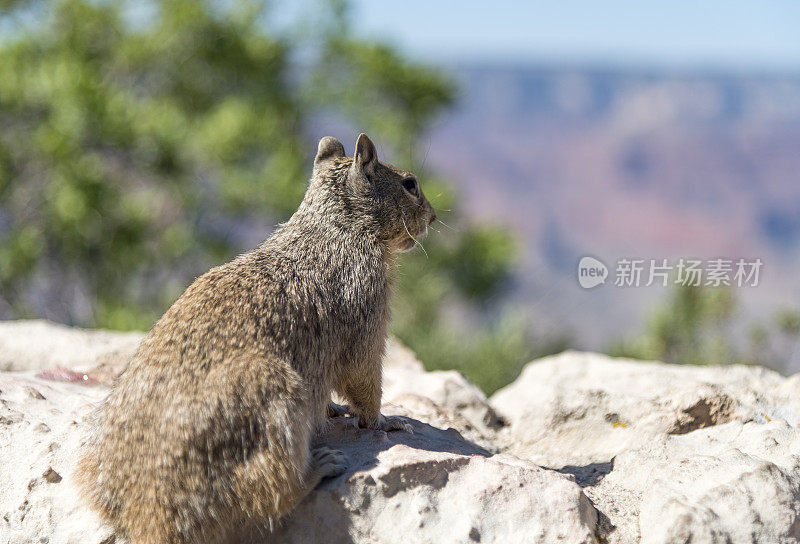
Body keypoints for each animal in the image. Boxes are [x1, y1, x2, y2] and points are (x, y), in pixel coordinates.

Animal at [76, 135, 438, 544]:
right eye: (410, 184)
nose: (433, 216)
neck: (332, 227)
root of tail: (148, 520)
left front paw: (335, 409)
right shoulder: (368, 320)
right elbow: (365, 384)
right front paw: (389, 421)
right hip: (279, 400)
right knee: (271, 495)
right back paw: (321, 465)